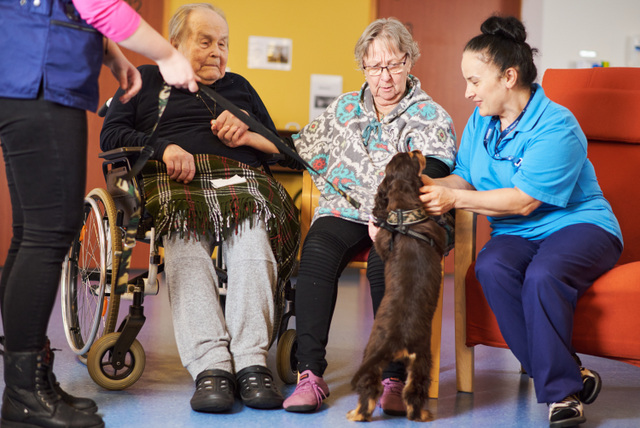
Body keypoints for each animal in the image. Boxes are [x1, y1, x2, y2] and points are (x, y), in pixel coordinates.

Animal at [346, 151, 448, 422]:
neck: (403, 214)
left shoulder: (382, 241)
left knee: (370, 390)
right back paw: (422, 414)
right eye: (413, 157)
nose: (418, 150)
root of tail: (394, 339)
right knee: (414, 393)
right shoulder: (439, 237)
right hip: (422, 358)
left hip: (371, 356)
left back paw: (356, 414)